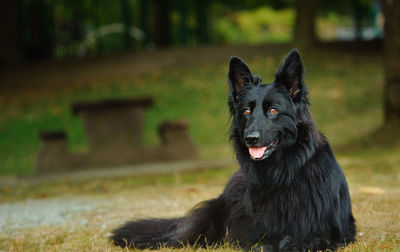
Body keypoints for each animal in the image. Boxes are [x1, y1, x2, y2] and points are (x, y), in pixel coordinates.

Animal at [111, 49, 354, 252]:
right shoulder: (254, 234)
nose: (250, 139)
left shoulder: (332, 233)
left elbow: (303, 240)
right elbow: (263, 243)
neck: (282, 173)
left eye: (273, 110)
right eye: (246, 111)